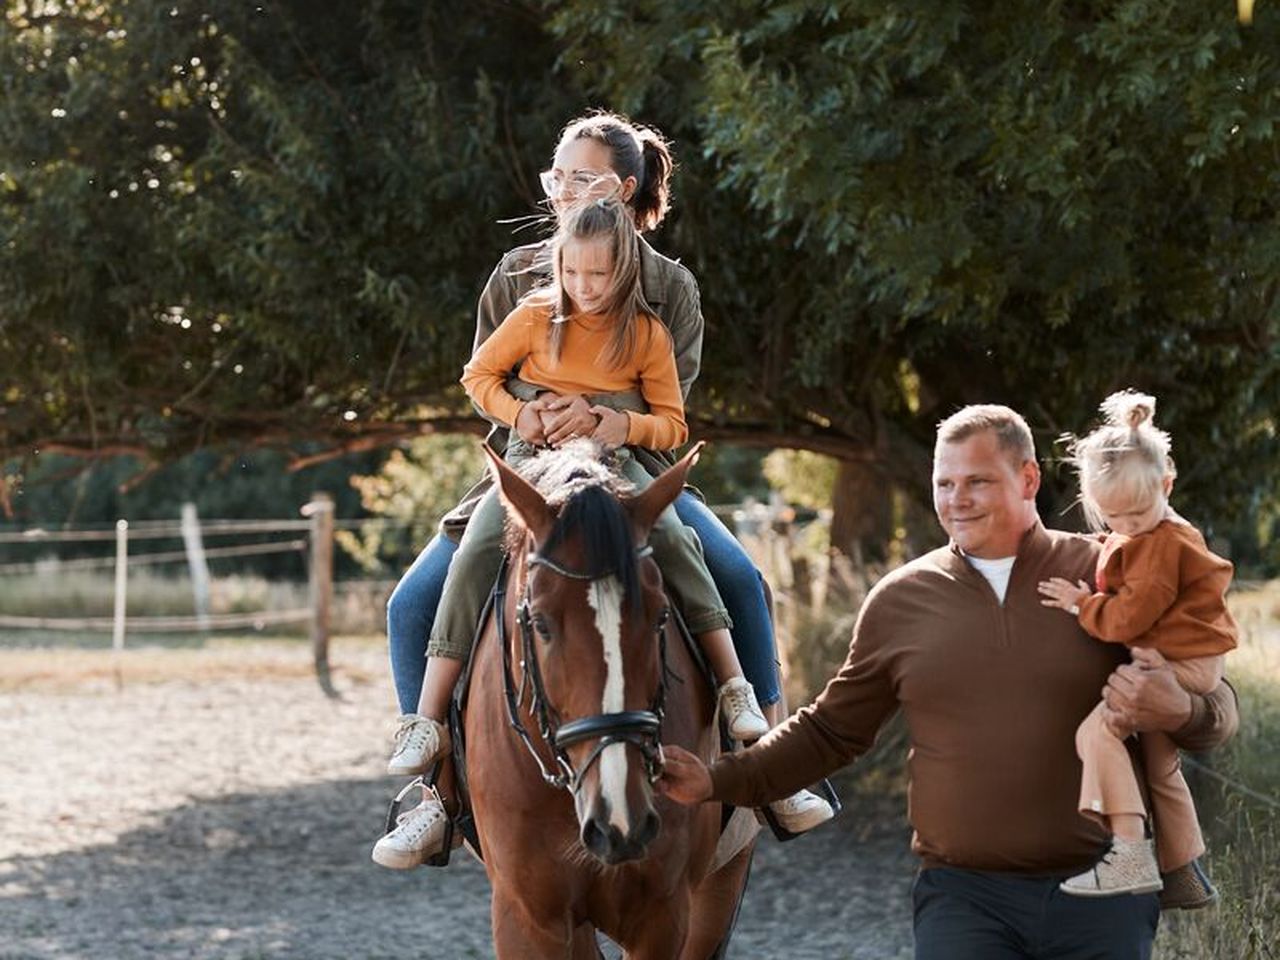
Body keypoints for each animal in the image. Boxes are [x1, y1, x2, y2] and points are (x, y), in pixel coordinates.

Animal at [463, 445, 752, 960]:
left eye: (661, 615)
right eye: (540, 623)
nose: (620, 817)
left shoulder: (664, 913)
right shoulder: (527, 916)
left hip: (722, 881)